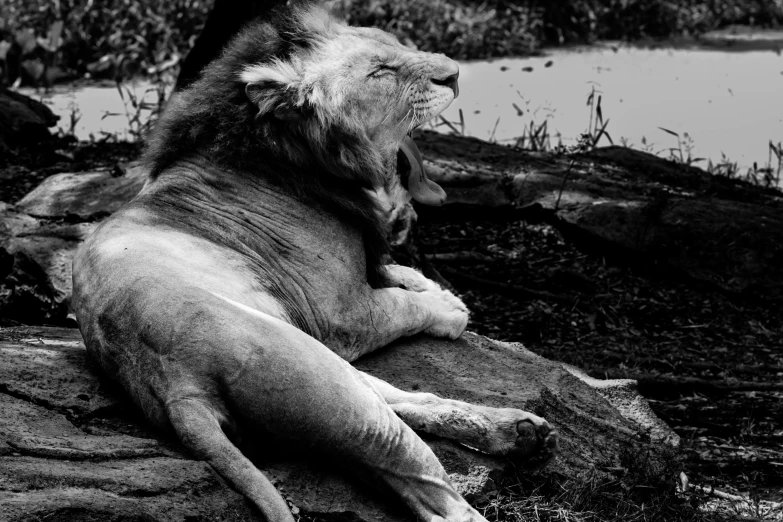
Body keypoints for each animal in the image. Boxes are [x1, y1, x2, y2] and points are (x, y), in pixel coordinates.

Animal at [70, 5, 556, 520]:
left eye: (396, 43)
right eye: (380, 71)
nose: (455, 74)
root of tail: (175, 388)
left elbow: (398, 276)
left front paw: (436, 288)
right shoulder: (340, 317)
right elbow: (401, 305)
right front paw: (448, 310)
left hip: (334, 381)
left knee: (408, 402)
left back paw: (521, 432)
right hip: (327, 376)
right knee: (431, 491)